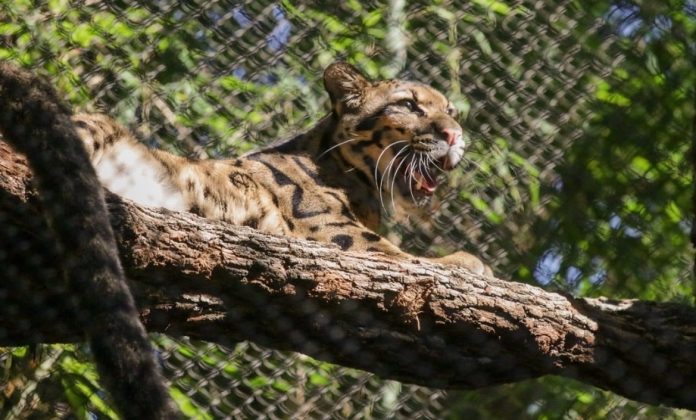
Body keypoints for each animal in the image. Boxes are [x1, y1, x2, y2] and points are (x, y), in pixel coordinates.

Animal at [73, 60, 490, 274]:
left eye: (451, 112)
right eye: (408, 105)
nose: (454, 134)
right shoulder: (335, 232)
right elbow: (404, 257)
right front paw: (467, 261)